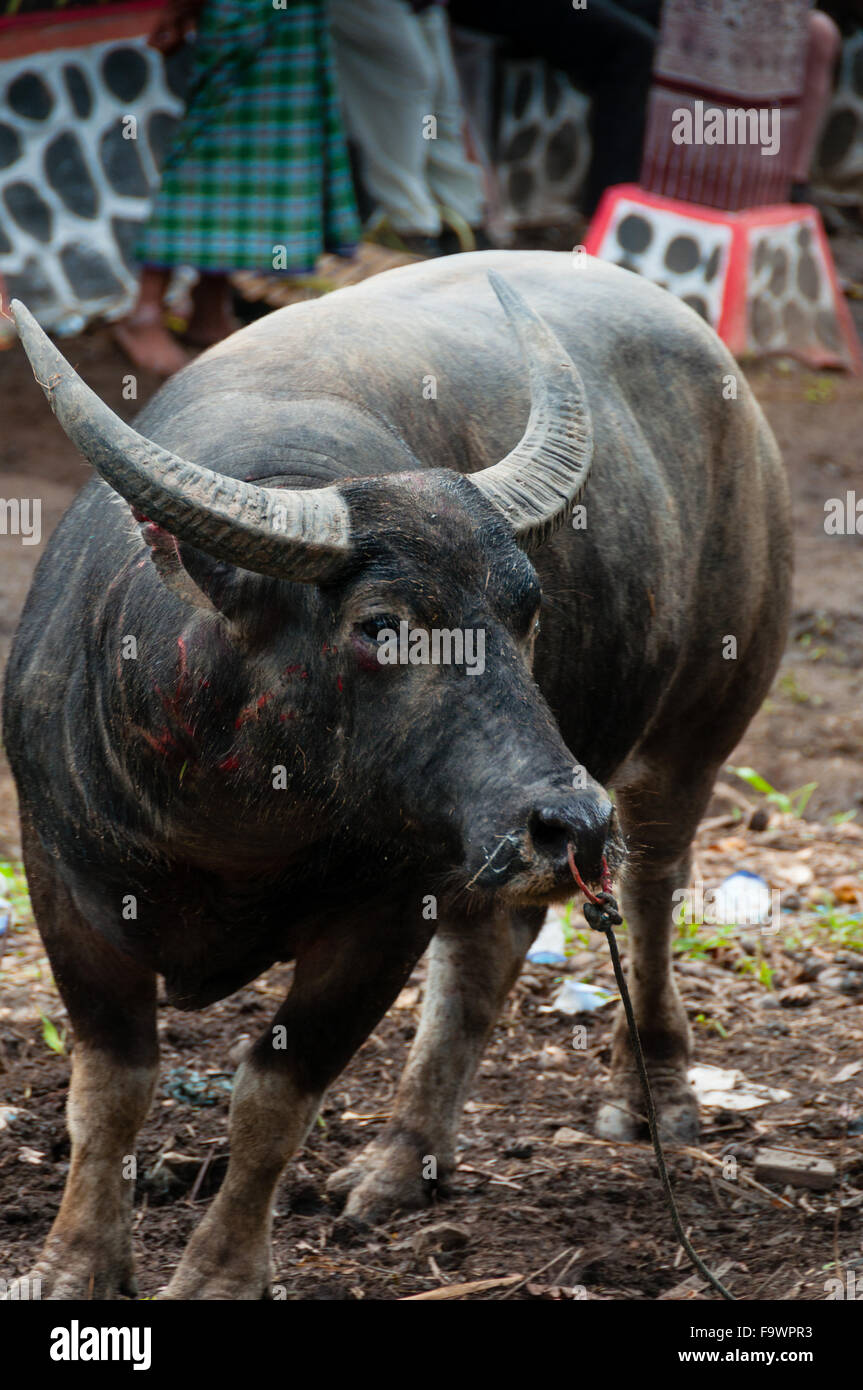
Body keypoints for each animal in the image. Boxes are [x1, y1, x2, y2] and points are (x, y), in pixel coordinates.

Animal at [3, 247, 789, 1289]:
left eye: (525, 610)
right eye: (382, 626)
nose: (571, 824)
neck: (239, 814)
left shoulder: (382, 913)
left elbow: (274, 1098)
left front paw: (220, 1272)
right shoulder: (64, 882)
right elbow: (110, 1092)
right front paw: (74, 1264)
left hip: (688, 740)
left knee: (653, 892)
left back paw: (651, 1090)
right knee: (487, 950)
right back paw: (402, 1160)